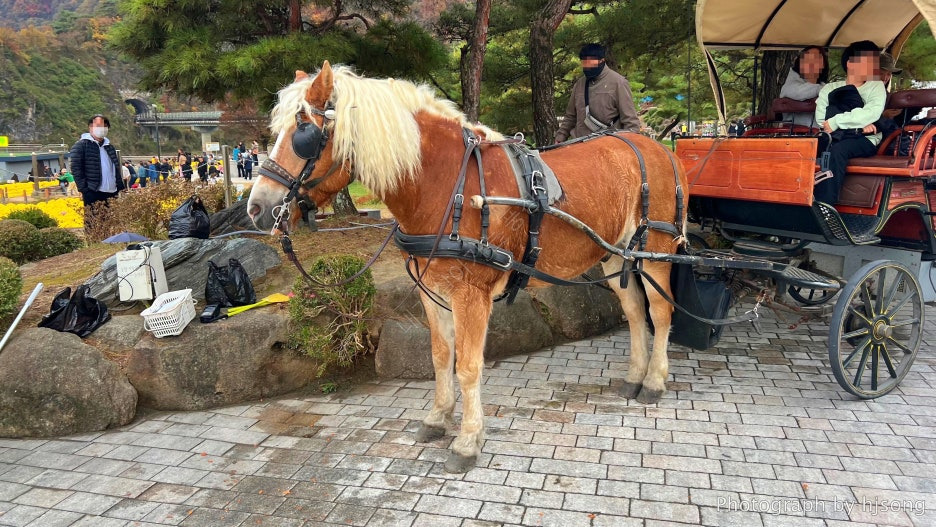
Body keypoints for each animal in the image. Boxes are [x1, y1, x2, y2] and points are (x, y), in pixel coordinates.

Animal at [248, 61, 688, 473]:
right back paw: (634, 376)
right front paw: (438, 418)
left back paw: (653, 381)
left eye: (303, 133)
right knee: (634, 311)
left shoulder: (471, 295)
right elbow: (441, 356)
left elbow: (469, 366)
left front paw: (467, 440)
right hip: (617, 253)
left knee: (660, 311)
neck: (447, 187)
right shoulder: (432, 290)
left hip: (655, 251)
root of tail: (658, 148)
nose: (256, 208)